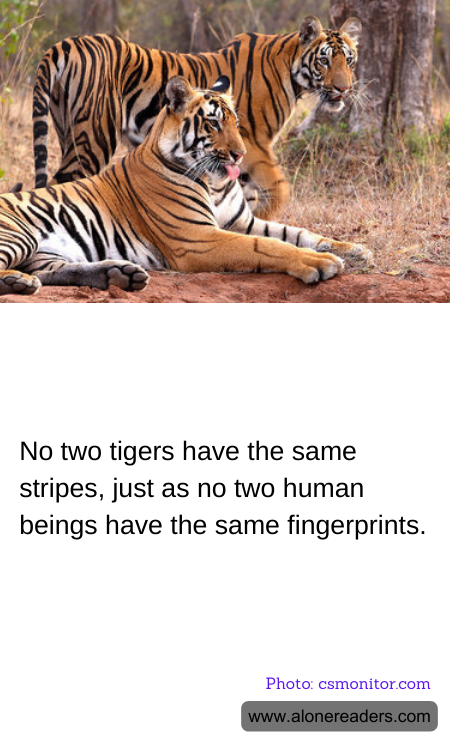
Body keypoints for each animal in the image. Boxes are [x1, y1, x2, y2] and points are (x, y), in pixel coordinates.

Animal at [0, 76, 372, 298]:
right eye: (214, 123)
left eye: (236, 122)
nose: (241, 154)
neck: (214, 182)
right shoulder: (199, 239)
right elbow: (266, 246)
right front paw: (319, 263)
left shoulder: (242, 221)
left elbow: (297, 233)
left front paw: (354, 250)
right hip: (21, 235)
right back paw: (19, 281)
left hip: (45, 253)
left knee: (54, 271)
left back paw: (117, 275)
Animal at [32, 16, 361, 219]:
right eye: (324, 60)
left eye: (349, 59)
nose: (344, 88)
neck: (293, 76)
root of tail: (65, 44)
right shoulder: (253, 143)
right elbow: (280, 190)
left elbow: (242, 195)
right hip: (94, 138)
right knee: (63, 185)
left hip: (67, 130)